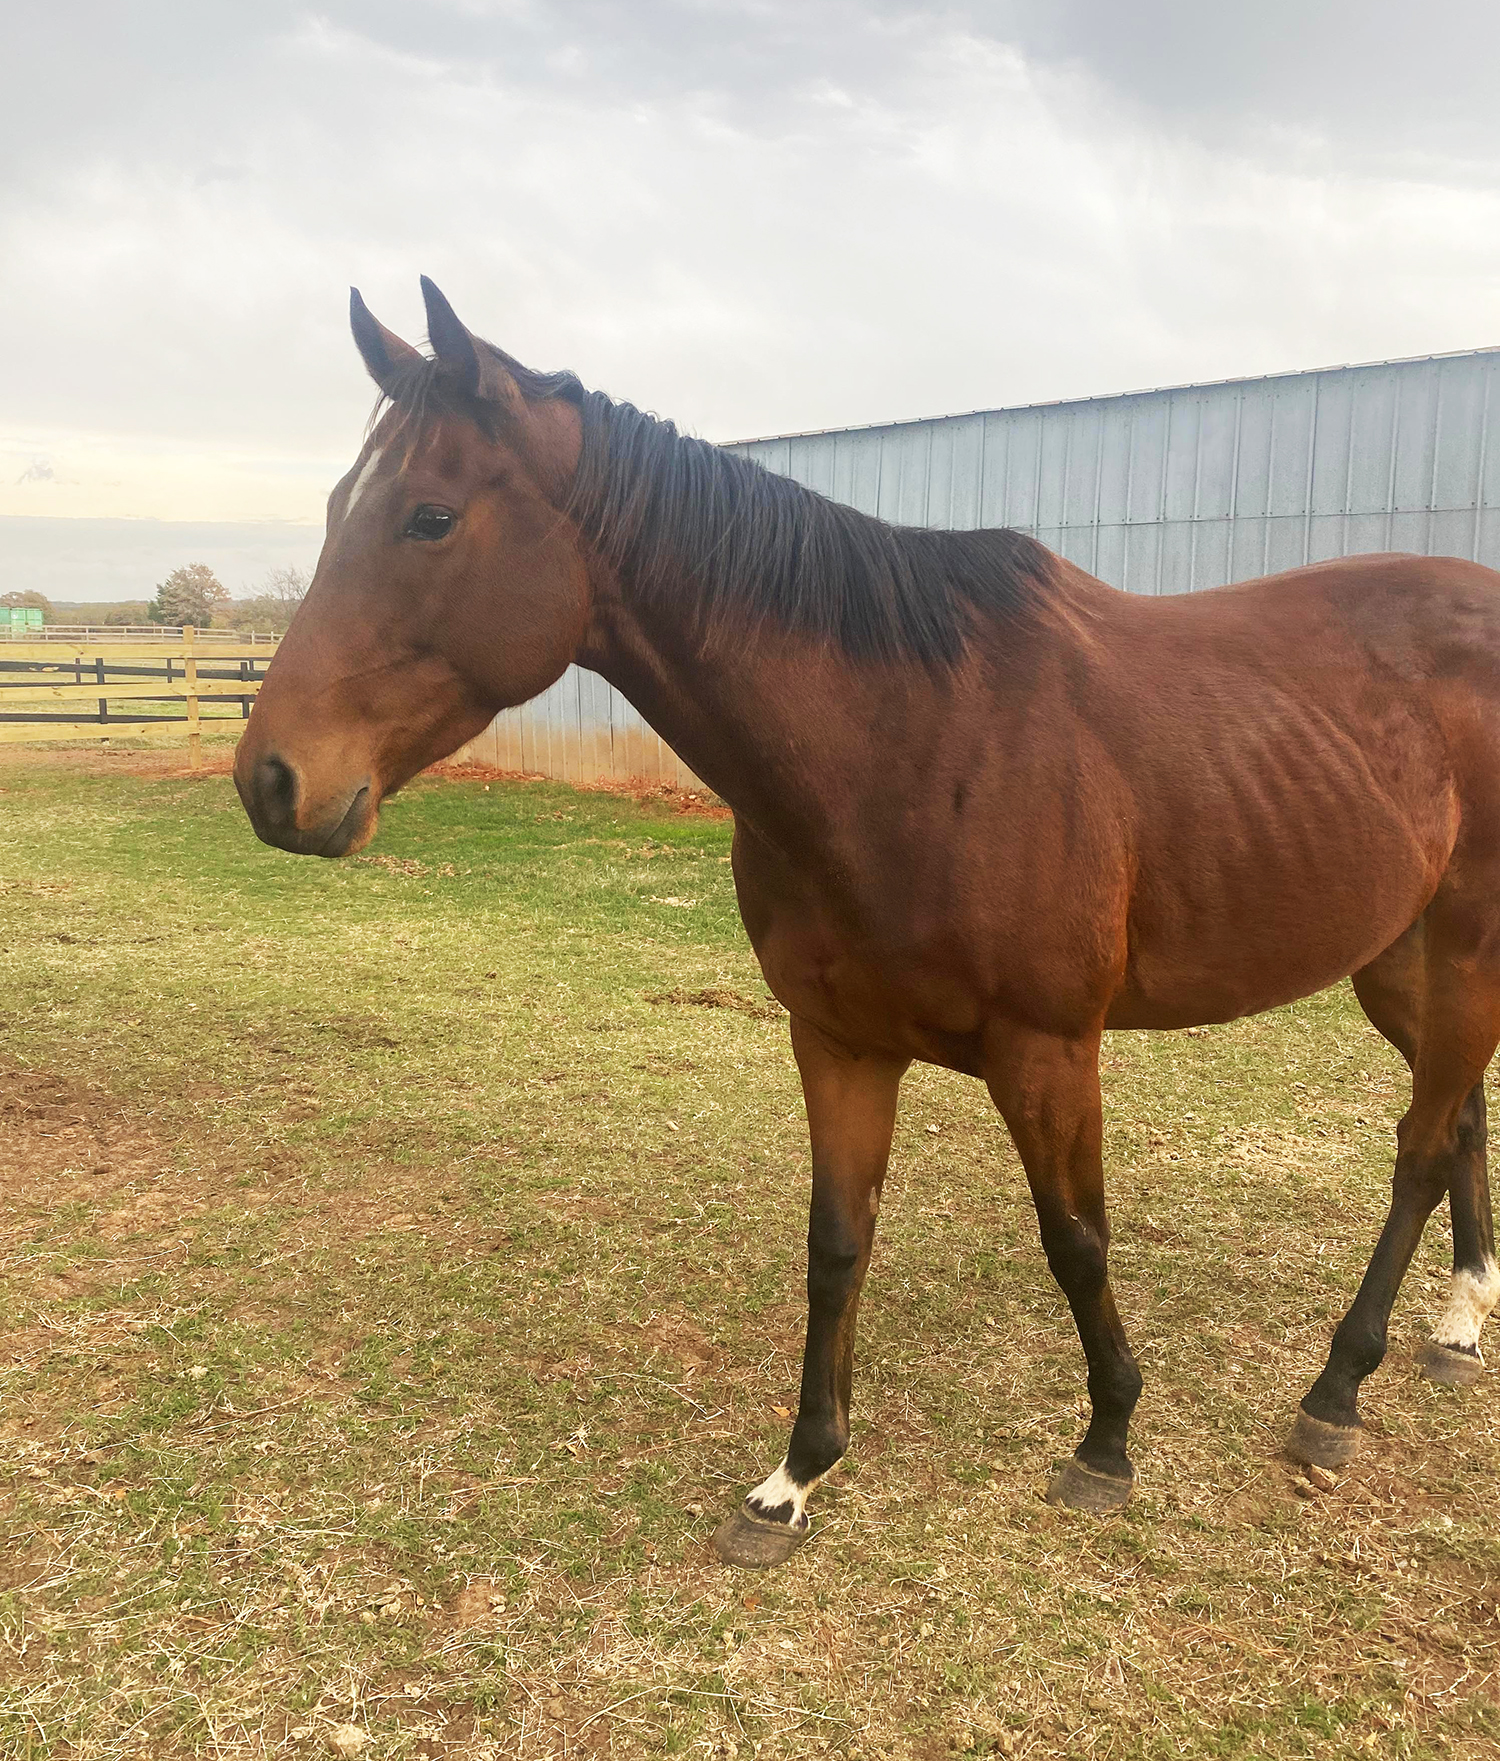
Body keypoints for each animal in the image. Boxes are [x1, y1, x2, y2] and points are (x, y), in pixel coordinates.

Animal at [237, 281, 1500, 1577]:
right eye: (339, 509)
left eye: (430, 518)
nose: (273, 782)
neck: (914, 739)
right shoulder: (839, 1042)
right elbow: (837, 1245)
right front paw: (796, 1474)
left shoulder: (1049, 1054)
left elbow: (1076, 1240)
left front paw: (1106, 1441)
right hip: (1396, 960)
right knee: (1458, 1120)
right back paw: (1455, 1324)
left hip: (1463, 946)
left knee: (1417, 1145)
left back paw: (1337, 1391)